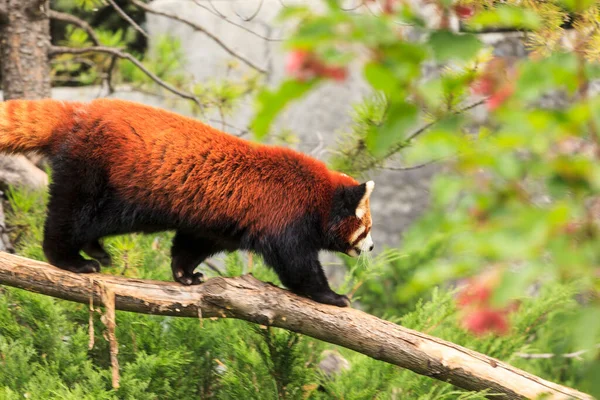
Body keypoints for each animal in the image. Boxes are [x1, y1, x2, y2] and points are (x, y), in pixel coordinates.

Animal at [0, 99, 376, 306]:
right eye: (366, 228)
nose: (372, 247)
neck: (317, 198)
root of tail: (79, 111)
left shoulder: (220, 223)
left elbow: (192, 243)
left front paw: (185, 274)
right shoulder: (285, 216)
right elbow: (297, 265)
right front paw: (332, 297)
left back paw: (95, 250)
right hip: (97, 172)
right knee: (72, 214)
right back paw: (69, 259)